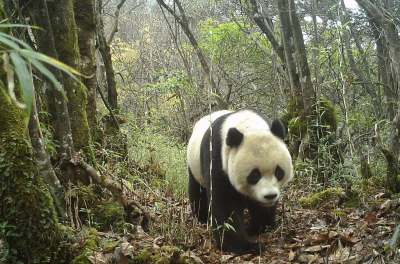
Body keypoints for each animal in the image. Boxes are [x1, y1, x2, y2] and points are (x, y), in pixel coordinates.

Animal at [186, 106, 292, 254]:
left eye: (278, 171)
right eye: (254, 175)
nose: (270, 196)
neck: (249, 126)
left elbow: (261, 208)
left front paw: (260, 228)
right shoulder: (218, 159)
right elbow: (224, 203)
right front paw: (245, 245)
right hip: (194, 164)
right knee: (197, 191)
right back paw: (202, 218)